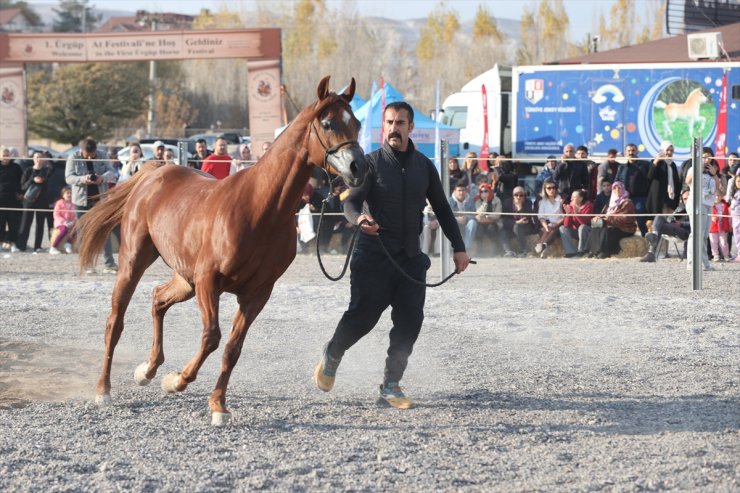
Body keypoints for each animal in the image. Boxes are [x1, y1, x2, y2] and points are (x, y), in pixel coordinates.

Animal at [78, 77, 368, 426]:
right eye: (328, 123)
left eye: (358, 123)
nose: (359, 167)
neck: (261, 208)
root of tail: (154, 174)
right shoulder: (208, 281)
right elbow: (211, 337)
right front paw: (177, 380)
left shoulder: (257, 293)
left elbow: (233, 347)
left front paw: (217, 404)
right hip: (135, 263)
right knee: (115, 322)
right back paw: (103, 390)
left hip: (185, 279)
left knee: (158, 299)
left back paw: (146, 370)